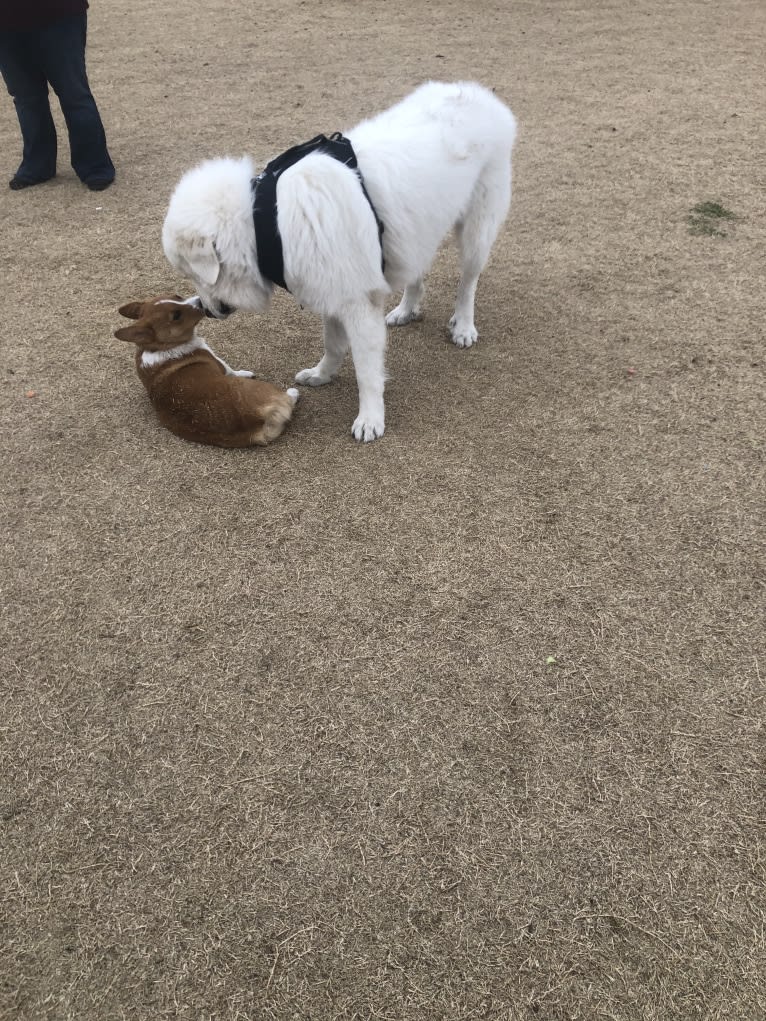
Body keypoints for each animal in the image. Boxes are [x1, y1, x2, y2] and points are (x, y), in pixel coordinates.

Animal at [115, 292, 298, 443]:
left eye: (177, 296)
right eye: (176, 315)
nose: (200, 301)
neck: (161, 348)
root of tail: (257, 416)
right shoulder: (218, 362)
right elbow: (232, 370)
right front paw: (244, 372)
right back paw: (293, 393)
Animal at [161, 81, 516, 441]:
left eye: (193, 274)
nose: (205, 311)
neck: (267, 222)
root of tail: (476, 93)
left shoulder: (358, 303)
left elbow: (367, 372)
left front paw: (371, 418)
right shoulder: (331, 292)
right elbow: (332, 345)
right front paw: (322, 375)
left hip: (476, 231)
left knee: (468, 283)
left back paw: (464, 325)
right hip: (416, 233)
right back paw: (406, 310)